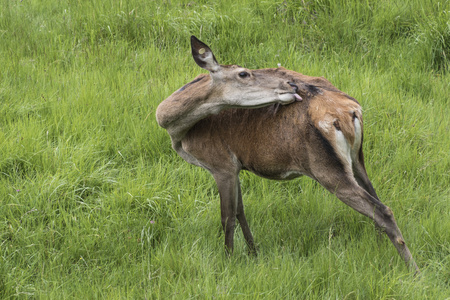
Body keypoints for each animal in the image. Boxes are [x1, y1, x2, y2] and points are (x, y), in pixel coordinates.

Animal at [156, 36, 420, 274]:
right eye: (244, 73)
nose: (291, 86)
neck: (177, 131)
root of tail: (350, 112)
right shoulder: (237, 167)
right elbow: (241, 212)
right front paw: (254, 253)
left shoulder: (221, 165)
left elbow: (227, 217)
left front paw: (228, 261)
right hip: (357, 160)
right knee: (376, 200)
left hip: (326, 168)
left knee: (383, 210)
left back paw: (414, 270)